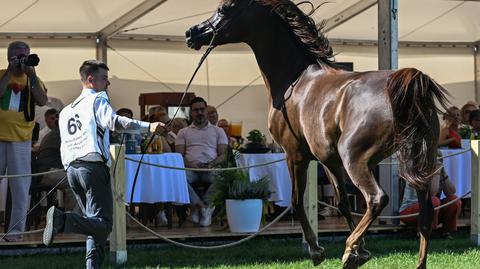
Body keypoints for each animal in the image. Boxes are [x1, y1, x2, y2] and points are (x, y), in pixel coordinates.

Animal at [186, 1, 448, 266]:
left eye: (224, 8)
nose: (191, 33)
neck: (294, 81)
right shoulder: (330, 161)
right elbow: (342, 203)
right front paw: (362, 251)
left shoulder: (295, 156)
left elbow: (296, 200)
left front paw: (319, 250)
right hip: (419, 161)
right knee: (426, 215)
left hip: (356, 159)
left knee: (377, 199)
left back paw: (348, 249)